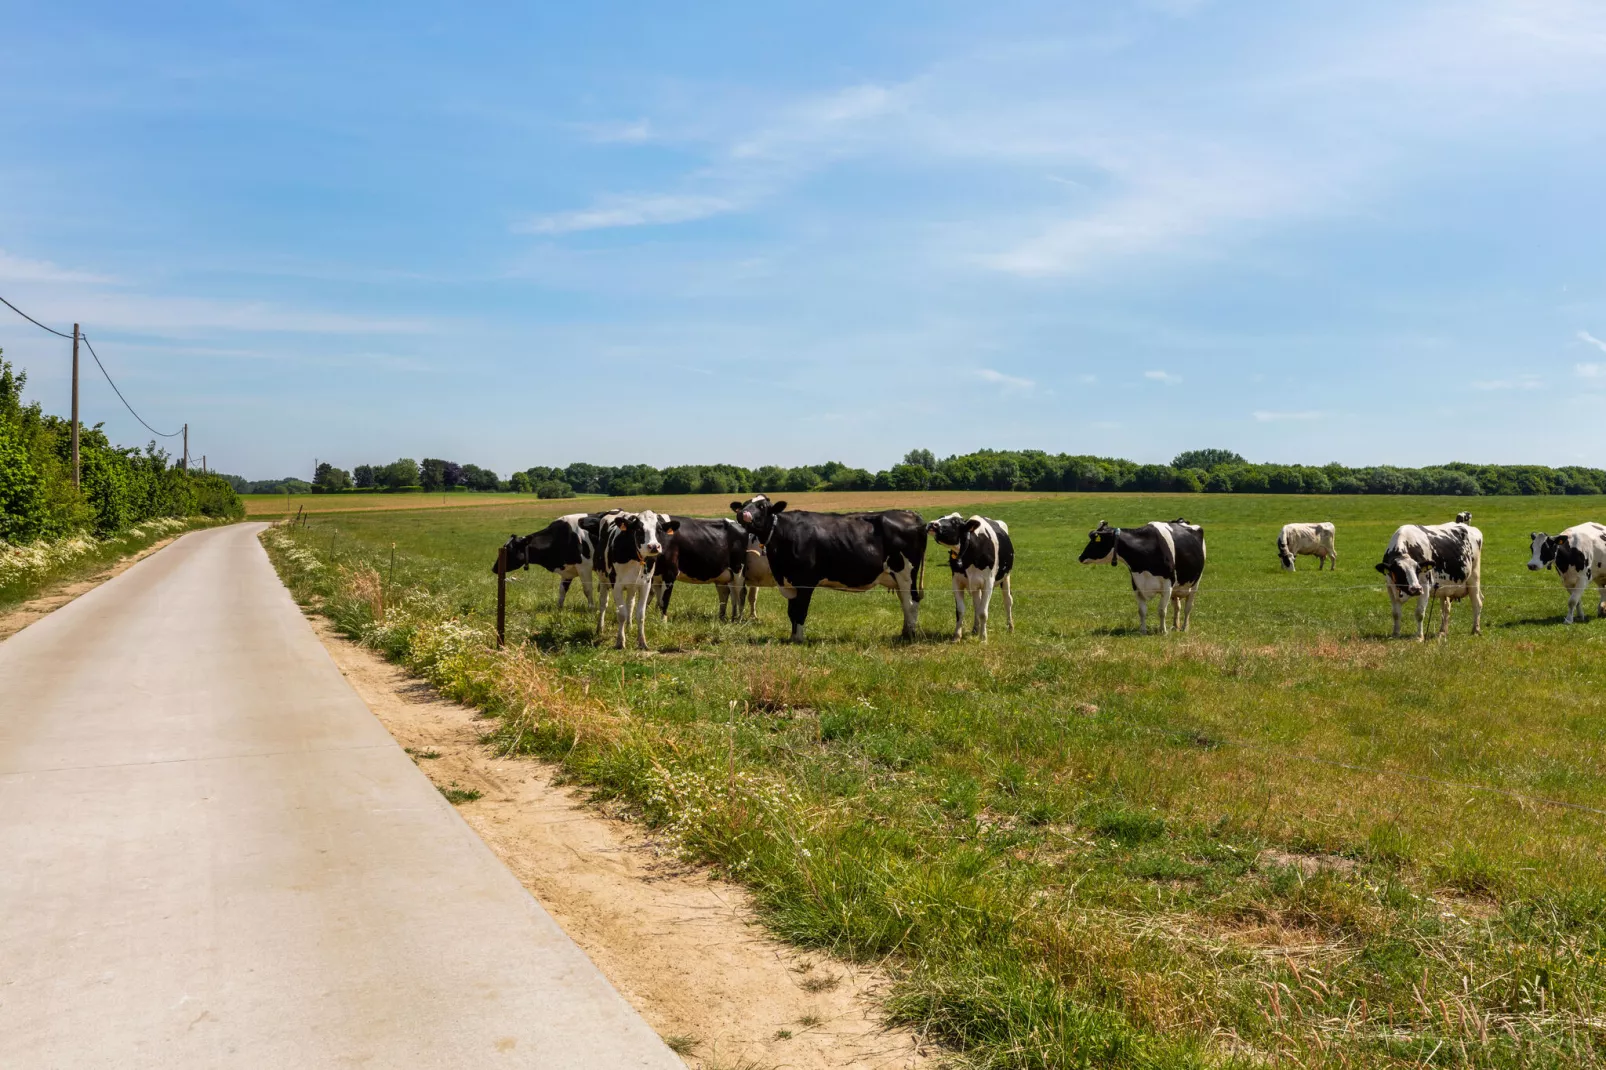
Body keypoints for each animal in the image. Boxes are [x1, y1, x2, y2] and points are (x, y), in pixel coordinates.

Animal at [600, 510, 680, 649]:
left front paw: (642, 642)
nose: (654, 546)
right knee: (603, 603)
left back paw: (629, 626)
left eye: (659, 529)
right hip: (603, 579)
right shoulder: (616, 585)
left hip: (632, 586)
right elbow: (621, 614)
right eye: (638, 529)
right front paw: (620, 642)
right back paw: (599, 629)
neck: (634, 558)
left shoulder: (645, 585)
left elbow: (641, 614)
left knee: (630, 604)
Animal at [735, 494, 925, 642]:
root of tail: (910, 513)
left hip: (906, 573)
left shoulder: (805, 581)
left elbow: (800, 610)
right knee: (904, 601)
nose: (742, 514)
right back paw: (904, 632)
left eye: (761, 506)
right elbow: (791, 611)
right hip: (897, 578)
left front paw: (799, 639)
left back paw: (909, 635)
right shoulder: (791, 582)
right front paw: (792, 637)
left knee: (911, 602)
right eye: (744, 504)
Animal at [1079, 517, 1207, 633]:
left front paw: (1163, 631)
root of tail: (1182, 521)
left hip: (1195, 583)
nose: (1080, 557)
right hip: (1177, 588)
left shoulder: (1167, 585)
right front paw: (1143, 631)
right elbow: (1142, 610)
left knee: (1188, 608)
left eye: (1097, 540)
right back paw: (1175, 626)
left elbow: (1162, 610)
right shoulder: (1137, 584)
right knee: (1177, 607)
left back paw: (1185, 628)